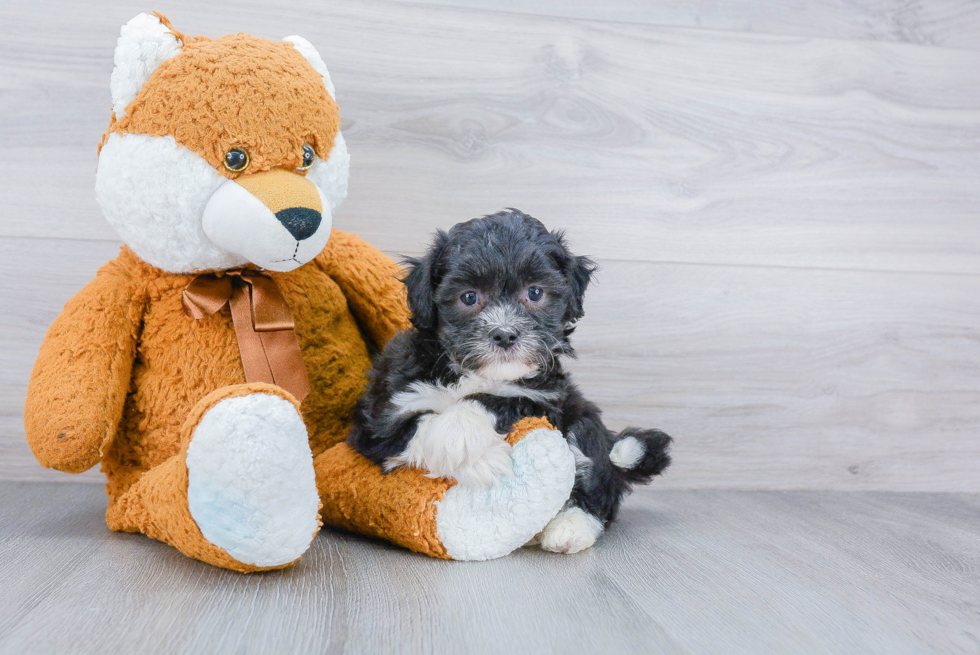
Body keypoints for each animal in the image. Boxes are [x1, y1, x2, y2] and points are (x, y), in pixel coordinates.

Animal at [346, 210, 672, 552]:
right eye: (469, 297)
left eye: (534, 292)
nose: (504, 334)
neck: (471, 372)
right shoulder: (380, 417)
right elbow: (409, 429)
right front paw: (478, 459)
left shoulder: (545, 398)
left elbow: (501, 398)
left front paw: (459, 430)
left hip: (583, 420)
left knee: (597, 480)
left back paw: (570, 527)